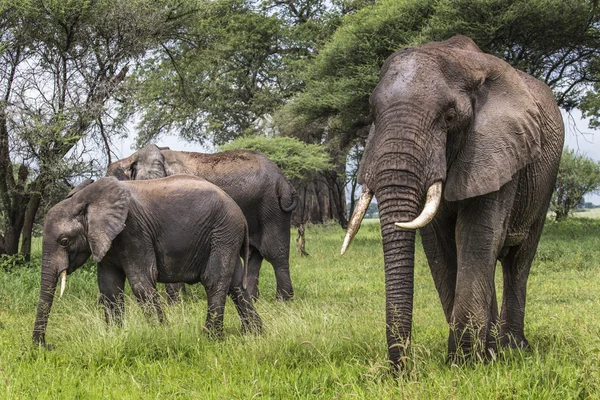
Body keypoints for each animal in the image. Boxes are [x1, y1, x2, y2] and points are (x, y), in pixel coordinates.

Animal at [32, 175, 262, 346]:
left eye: (64, 241)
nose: (47, 346)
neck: (84, 199)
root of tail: (240, 214)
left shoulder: (133, 231)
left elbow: (141, 282)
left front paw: (162, 334)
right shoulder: (105, 238)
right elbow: (109, 287)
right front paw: (115, 335)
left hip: (223, 232)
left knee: (214, 280)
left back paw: (209, 338)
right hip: (227, 236)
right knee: (236, 285)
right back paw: (255, 334)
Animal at [108, 145, 298, 300]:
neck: (132, 159)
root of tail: (284, 180)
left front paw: (175, 305)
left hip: (272, 207)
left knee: (274, 252)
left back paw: (282, 300)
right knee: (253, 254)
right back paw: (253, 298)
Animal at [340, 36, 564, 368]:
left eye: (448, 117)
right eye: (372, 115)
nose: (401, 372)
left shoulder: (497, 148)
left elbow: (476, 236)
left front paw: (465, 364)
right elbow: (440, 246)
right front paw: (469, 359)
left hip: (544, 181)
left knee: (517, 261)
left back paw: (512, 348)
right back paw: (494, 347)